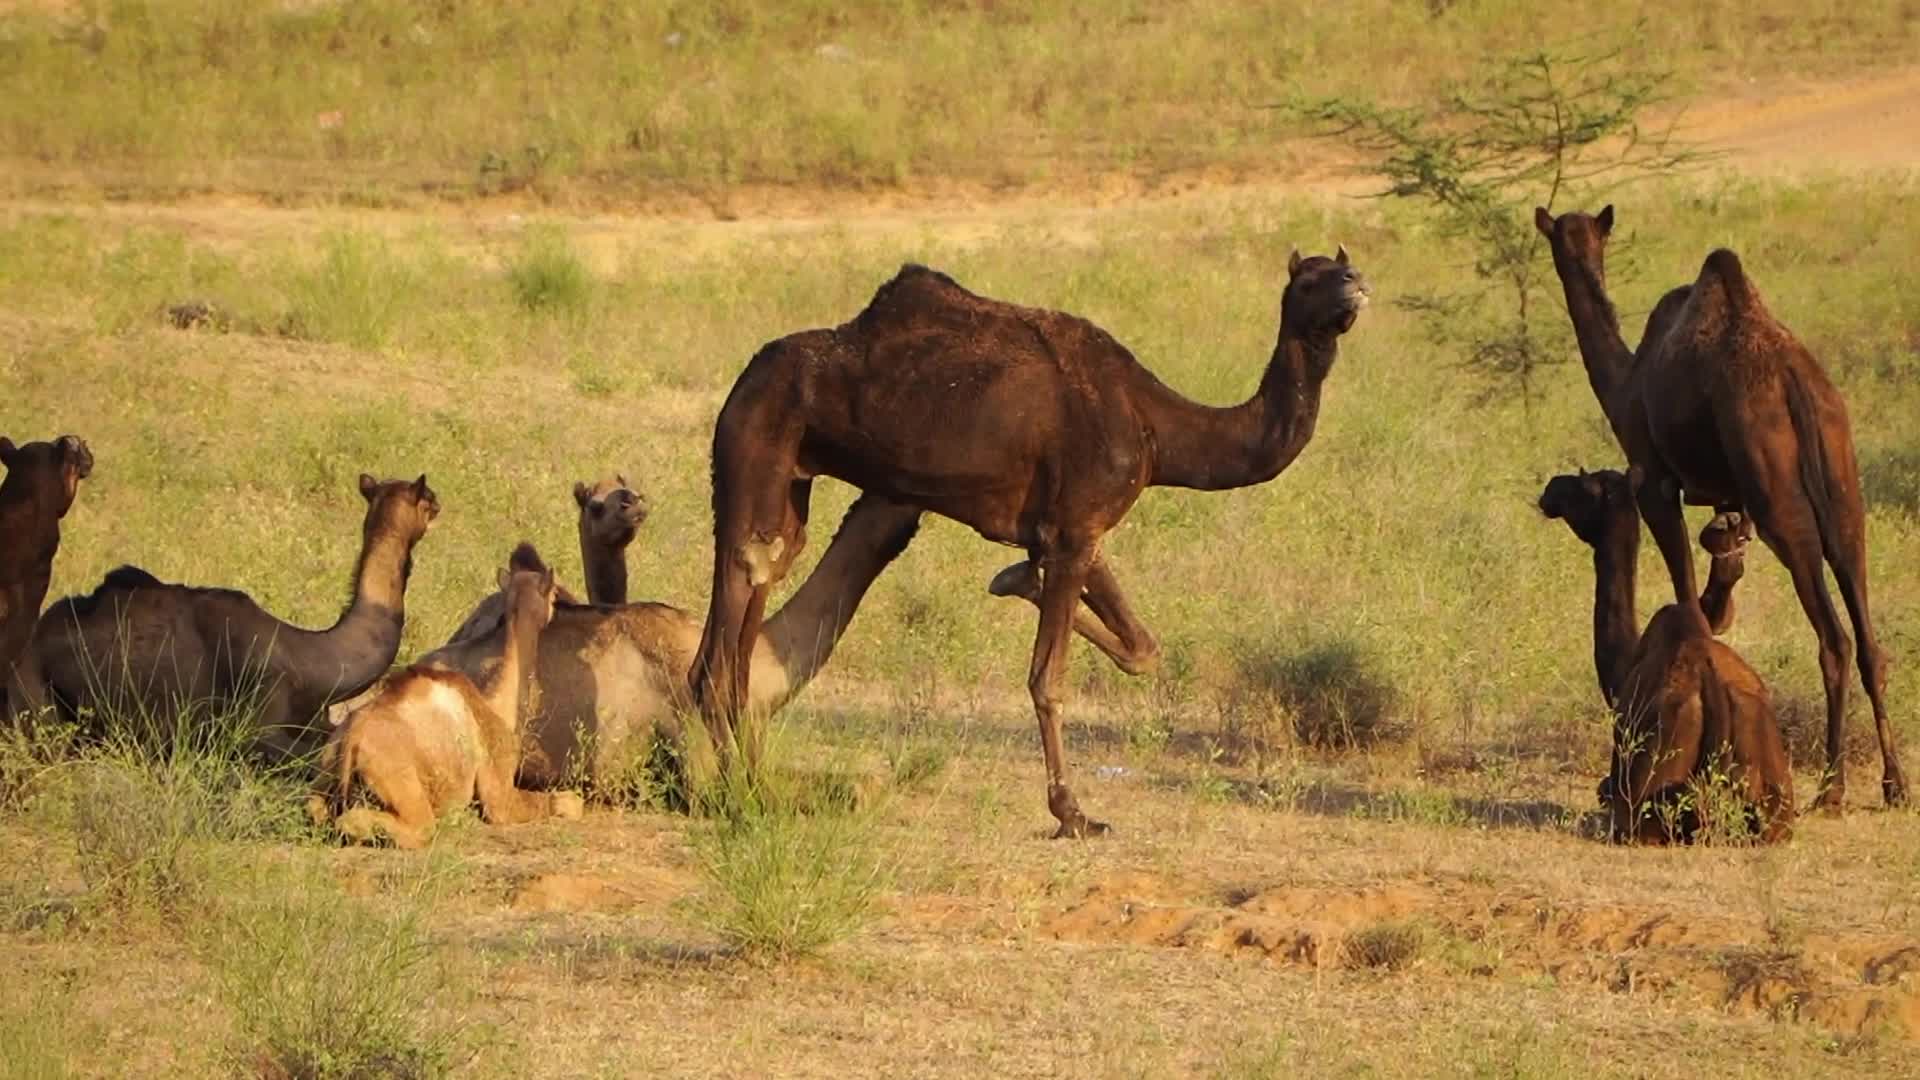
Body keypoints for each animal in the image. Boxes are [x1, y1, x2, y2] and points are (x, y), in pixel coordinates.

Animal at [311, 560, 582, 849]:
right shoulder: (500, 794)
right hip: (403, 787)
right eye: (555, 593)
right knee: (397, 825)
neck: (497, 702)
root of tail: (350, 741)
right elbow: (569, 803)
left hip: (322, 774)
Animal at [690, 251, 1370, 836]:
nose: (1355, 286)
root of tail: (744, 378)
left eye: (1347, 266)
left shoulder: (1077, 529)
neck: (1155, 427)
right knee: (739, 599)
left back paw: (753, 785)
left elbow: (1142, 649)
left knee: (752, 606)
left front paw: (1016, 579)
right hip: (755, 444)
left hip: (790, 483)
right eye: (1309, 279)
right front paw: (1073, 813)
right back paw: (739, 798)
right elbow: (1049, 677)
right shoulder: (1074, 529)